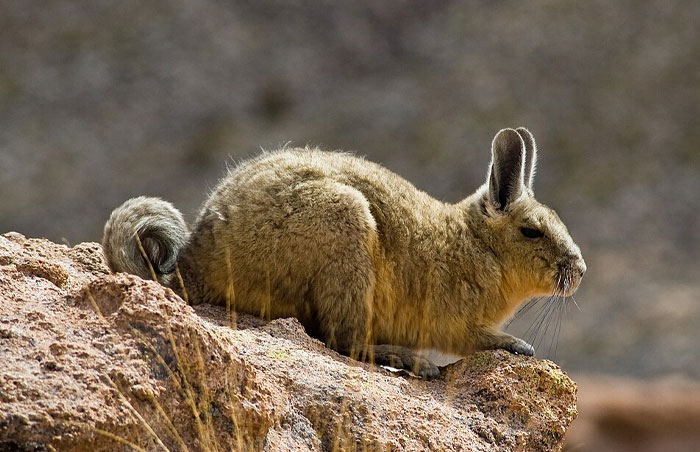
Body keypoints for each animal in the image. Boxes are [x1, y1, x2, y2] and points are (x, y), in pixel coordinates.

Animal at [103, 127, 586, 378]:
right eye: (532, 231)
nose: (580, 269)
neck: (475, 247)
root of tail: (191, 265)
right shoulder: (455, 321)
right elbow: (480, 338)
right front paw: (519, 345)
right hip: (347, 228)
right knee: (342, 339)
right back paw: (409, 361)